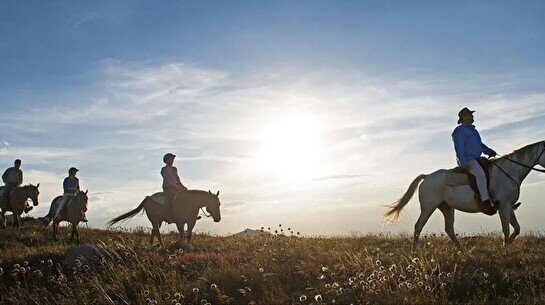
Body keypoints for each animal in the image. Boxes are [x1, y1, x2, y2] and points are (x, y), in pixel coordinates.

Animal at [386, 140, 544, 247]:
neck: (508, 171)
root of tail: (427, 176)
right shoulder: (504, 206)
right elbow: (506, 228)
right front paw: (505, 248)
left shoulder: (509, 206)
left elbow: (516, 228)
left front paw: (508, 244)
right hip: (428, 207)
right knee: (418, 226)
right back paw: (415, 250)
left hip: (447, 207)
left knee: (449, 229)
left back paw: (460, 249)